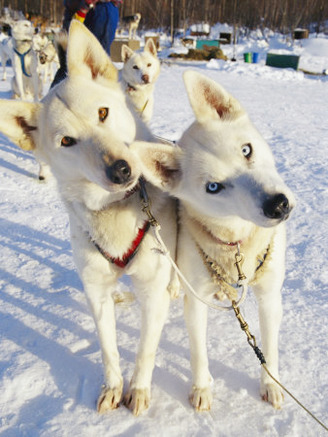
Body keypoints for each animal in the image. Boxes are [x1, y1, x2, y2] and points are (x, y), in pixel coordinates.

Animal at [0, 20, 178, 416]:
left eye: (103, 113)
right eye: (67, 141)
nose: (121, 169)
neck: (115, 212)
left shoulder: (151, 291)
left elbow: (144, 350)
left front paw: (138, 390)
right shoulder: (95, 291)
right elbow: (109, 348)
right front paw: (113, 387)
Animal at [132, 71, 296, 412]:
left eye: (246, 150)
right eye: (214, 187)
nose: (277, 205)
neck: (237, 245)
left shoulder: (270, 296)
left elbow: (269, 347)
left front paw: (270, 384)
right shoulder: (197, 303)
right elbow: (198, 351)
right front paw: (201, 388)